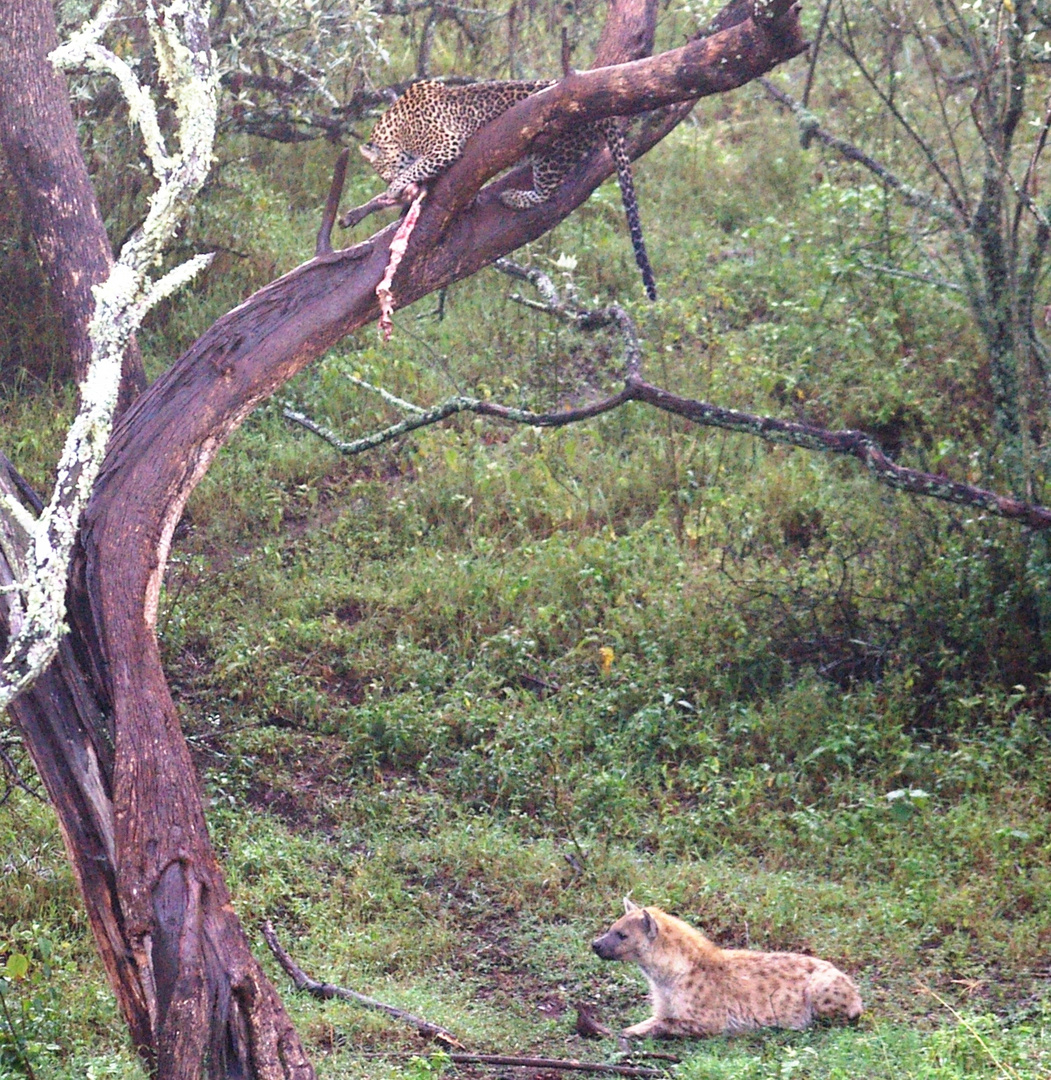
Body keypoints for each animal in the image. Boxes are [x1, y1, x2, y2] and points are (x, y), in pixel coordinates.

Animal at [360, 79, 656, 300]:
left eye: (384, 172)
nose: (389, 185)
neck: (398, 125)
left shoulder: (446, 145)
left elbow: (414, 168)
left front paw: (395, 188)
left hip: (552, 153)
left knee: (548, 191)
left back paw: (512, 196)